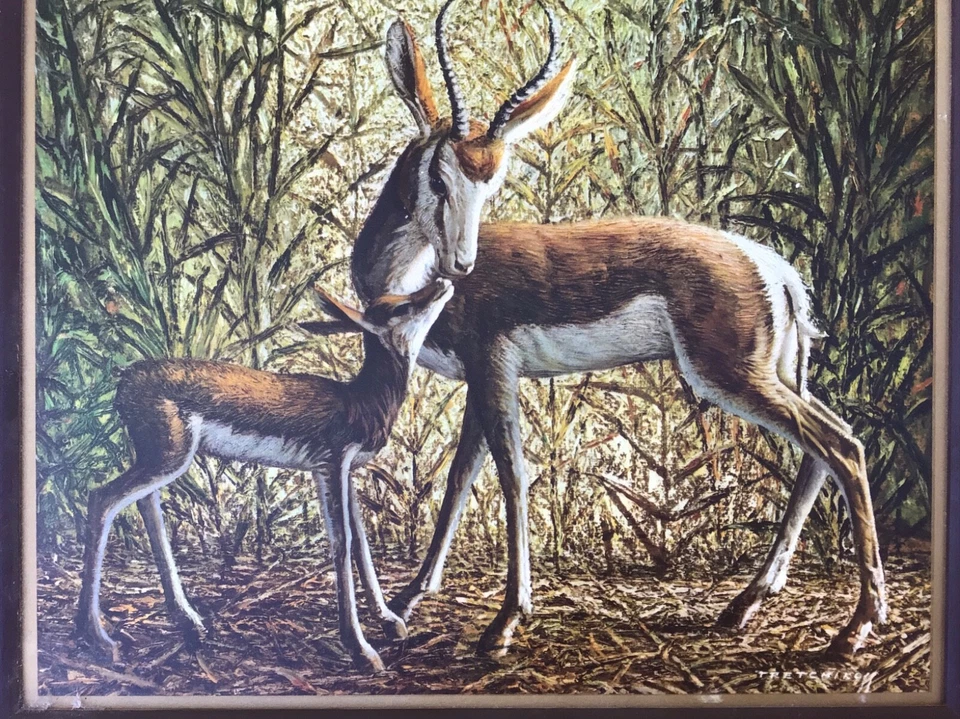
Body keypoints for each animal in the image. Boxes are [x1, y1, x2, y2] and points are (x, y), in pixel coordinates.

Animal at [76, 278, 454, 672]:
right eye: (400, 306)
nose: (442, 283)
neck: (360, 401)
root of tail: (124, 382)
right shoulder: (331, 464)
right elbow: (342, 543)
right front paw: (362, 650)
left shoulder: (344, 473)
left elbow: (361, 543)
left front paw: (391, 623)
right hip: (169, 458)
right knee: (101, 498)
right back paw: (100, 639)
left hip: (159, 458)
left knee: (145, 506)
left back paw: (189, 622)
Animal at [340, 0, 887, 660]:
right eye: (440, 178)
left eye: (491, 182)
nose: (462, 265)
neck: (411, 275)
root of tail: (774, 268)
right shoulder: (481, 378)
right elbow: (459, 479)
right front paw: (405, 601)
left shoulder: (493, 366)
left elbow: (511, 473)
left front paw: (505, 622)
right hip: (775, 375)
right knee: (820, 450)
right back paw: (745, 604)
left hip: (728, 376)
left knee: (843, 445)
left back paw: (856, 627)